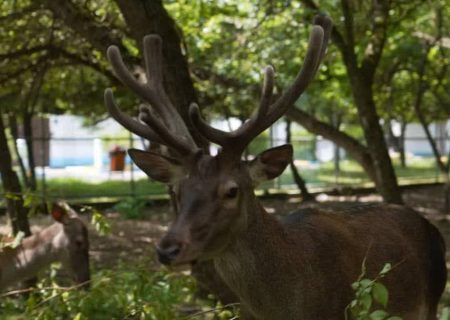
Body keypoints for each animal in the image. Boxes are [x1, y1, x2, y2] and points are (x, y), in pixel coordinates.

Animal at [104, 15, 446, 320]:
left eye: (231, 190)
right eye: (176, 190)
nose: (167, 250)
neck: (291, 307)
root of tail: (429, 225)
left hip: (432, 298)